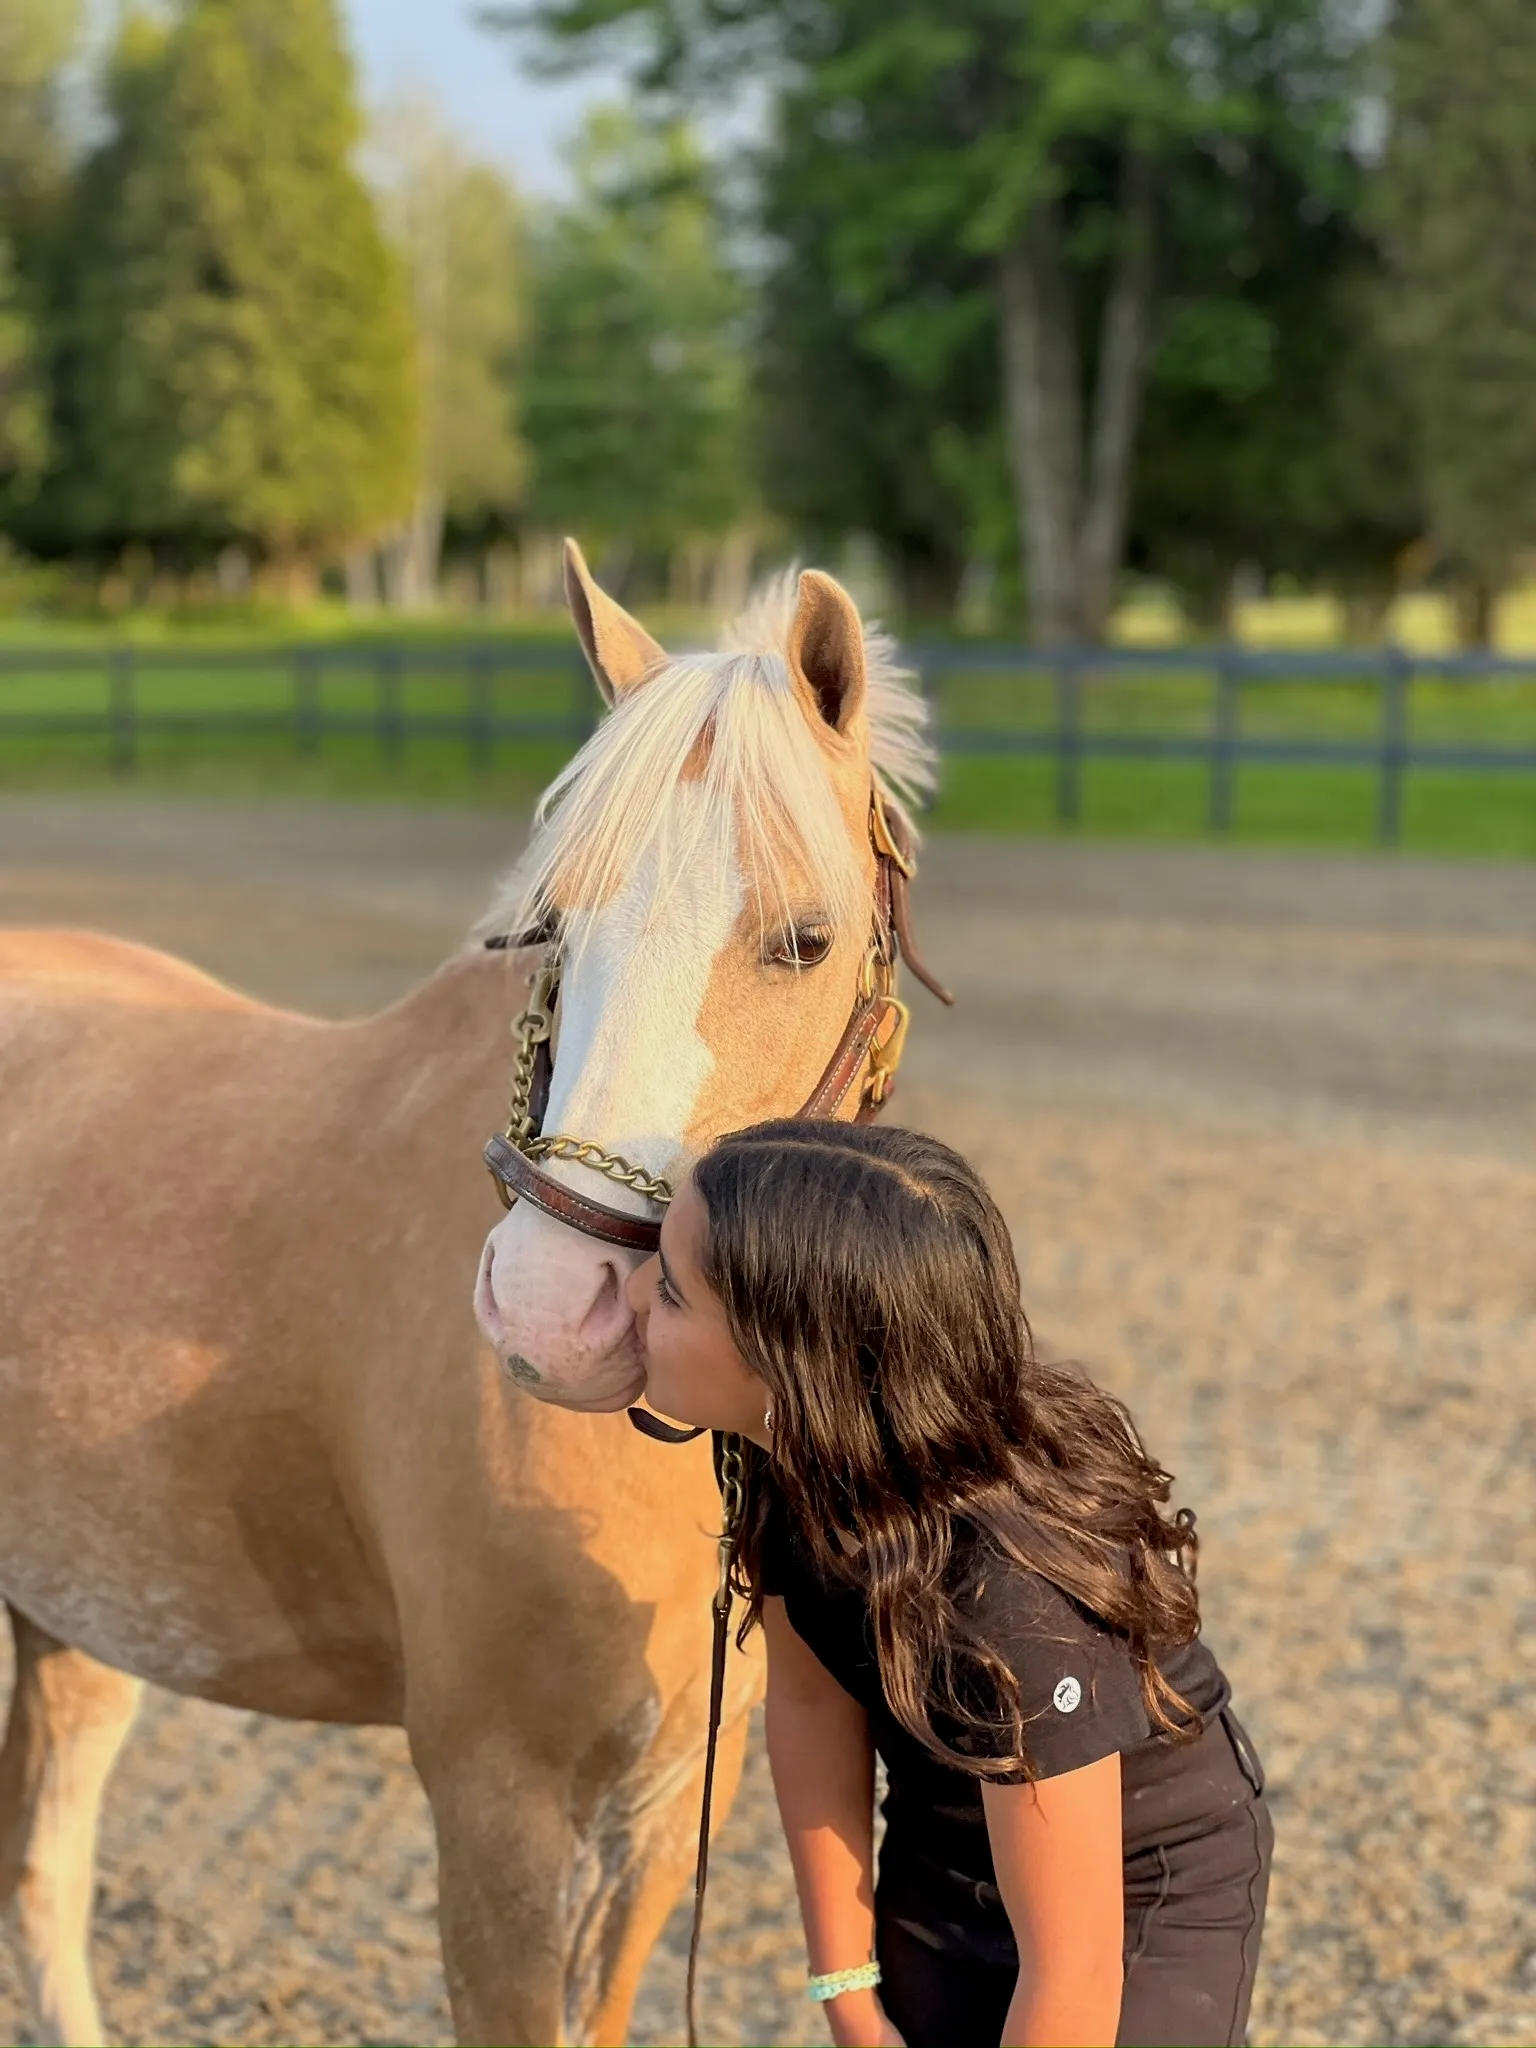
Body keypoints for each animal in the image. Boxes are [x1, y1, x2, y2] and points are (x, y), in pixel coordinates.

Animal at [0, 545, 939, 2047]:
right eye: (550, 923)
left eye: (804, 938)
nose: (559, 1310)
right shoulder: (497, 1803)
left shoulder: (665, 1805)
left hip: (75, 1620)